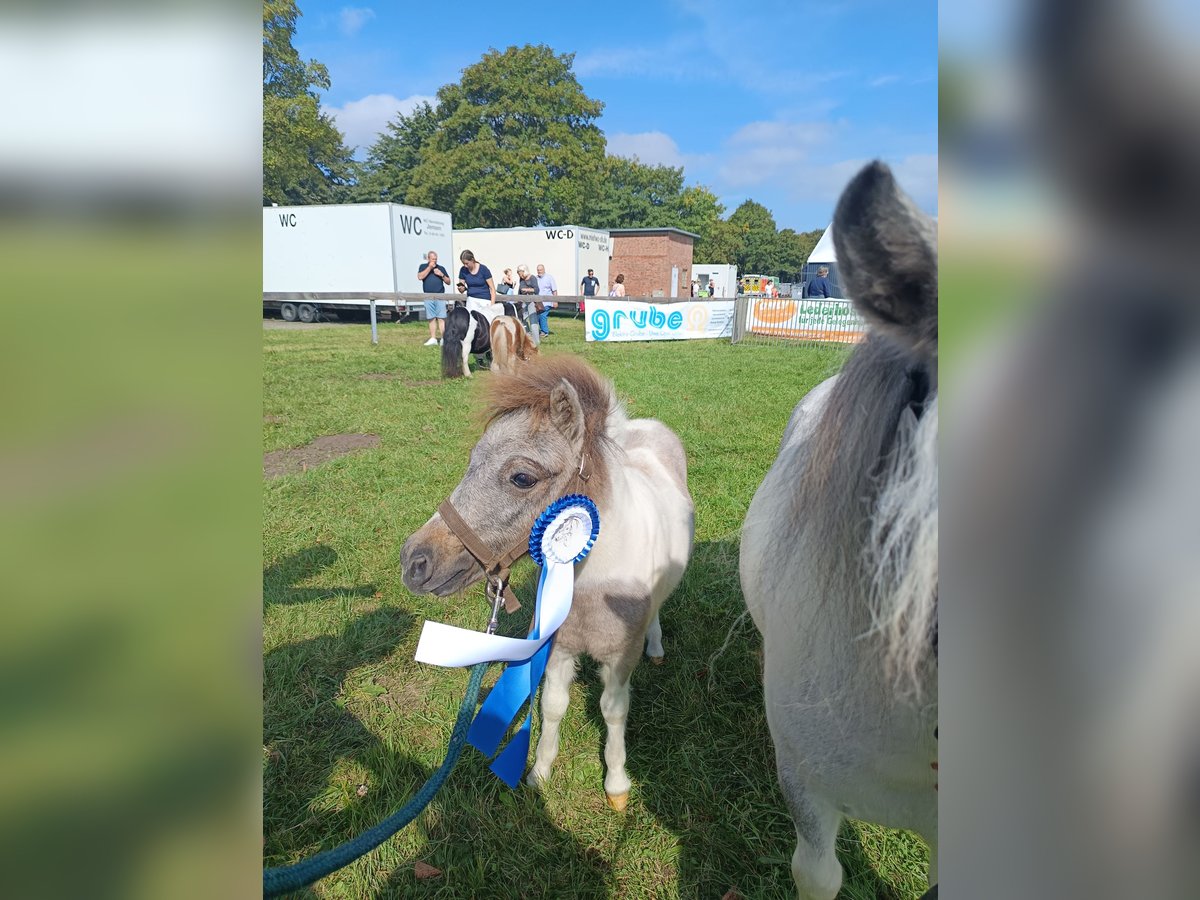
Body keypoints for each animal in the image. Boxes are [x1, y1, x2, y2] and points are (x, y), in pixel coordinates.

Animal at [403, 355, 696, 806]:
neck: (595, 585)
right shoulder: (559, 648)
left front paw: (616, 785)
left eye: (522, 477)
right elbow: (553, 705)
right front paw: (539, 774)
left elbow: (613, 710)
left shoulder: (619, 658)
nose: (414, 561)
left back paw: (657, 646)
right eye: (471, 462)